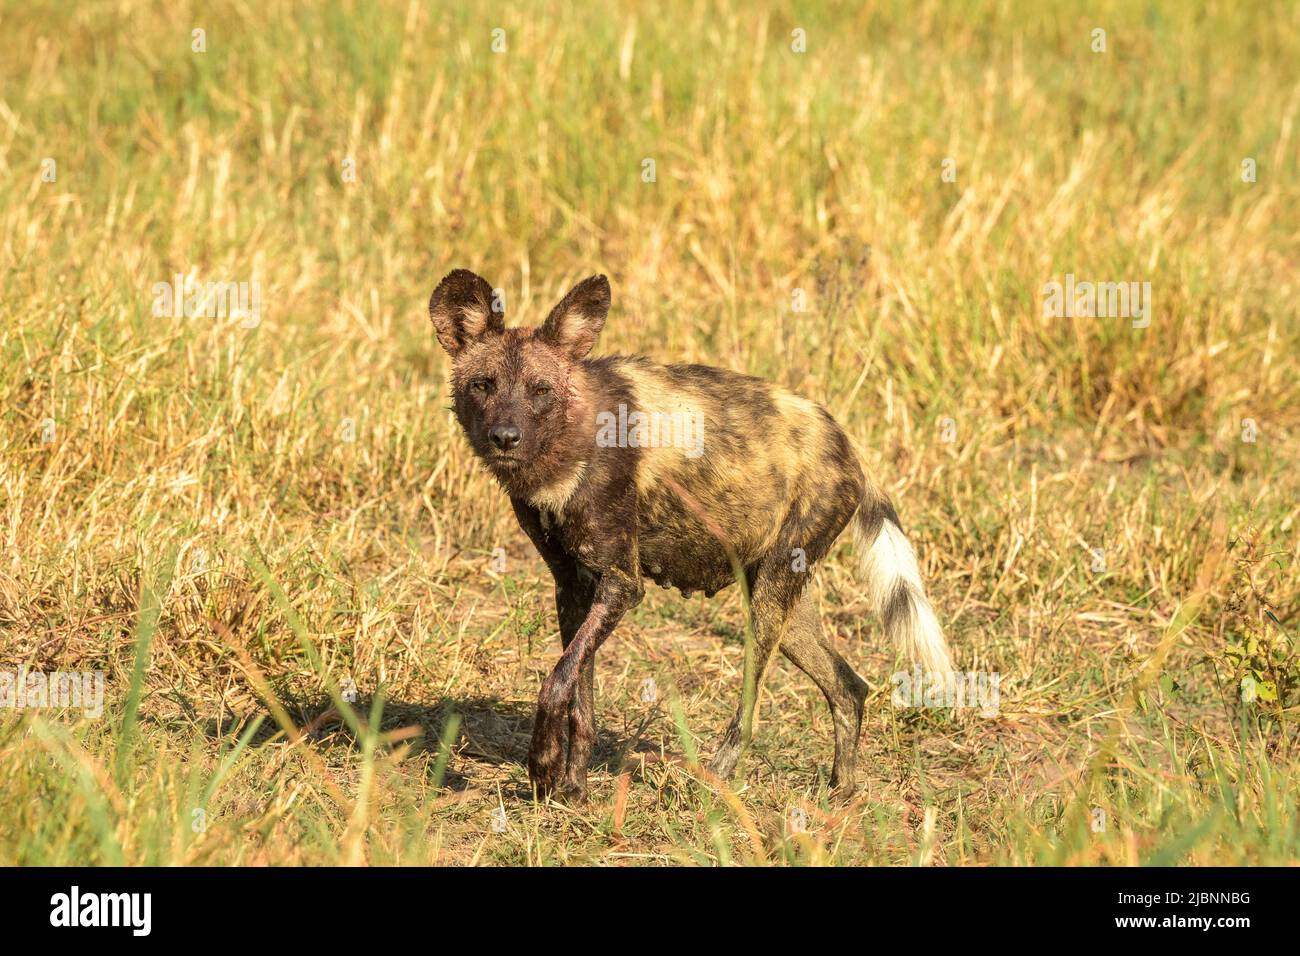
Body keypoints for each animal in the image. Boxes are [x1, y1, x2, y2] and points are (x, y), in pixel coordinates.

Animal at [431, 269, 951, 801]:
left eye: (540, 390)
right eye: (483, 385)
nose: (505, 437)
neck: (568, 446)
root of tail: (846, 442)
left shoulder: (621, 584)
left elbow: (557, 681)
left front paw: (543, 766)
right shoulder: (572, 586)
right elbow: (579, 693)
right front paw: (571, 786)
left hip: (768, 603)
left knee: (750, 711)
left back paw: (713, 780)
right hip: (784, 602)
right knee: (849, 688)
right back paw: (840, 794)